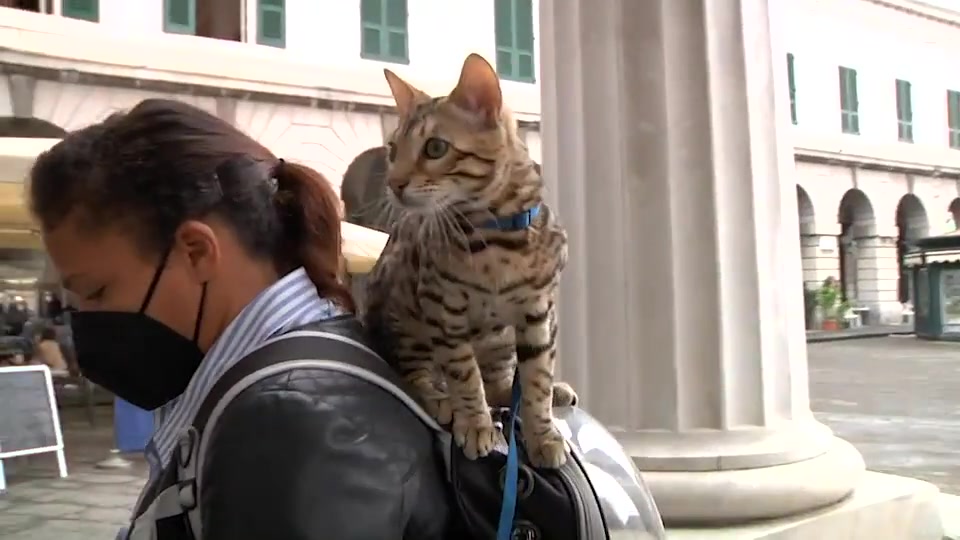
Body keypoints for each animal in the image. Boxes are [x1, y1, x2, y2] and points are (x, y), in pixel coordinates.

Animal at [360, 53, 572, 468]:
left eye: (435, 148)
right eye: (393, 150)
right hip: (404, 312)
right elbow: (464, 374)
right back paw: (441, 398)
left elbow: (535, 378)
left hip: (501, 341)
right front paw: (475, 423)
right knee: (417, 370)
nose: (393, 183)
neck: (496, 239)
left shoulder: (540, 313)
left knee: (502, 384)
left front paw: (542, 431)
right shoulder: (444, 309)